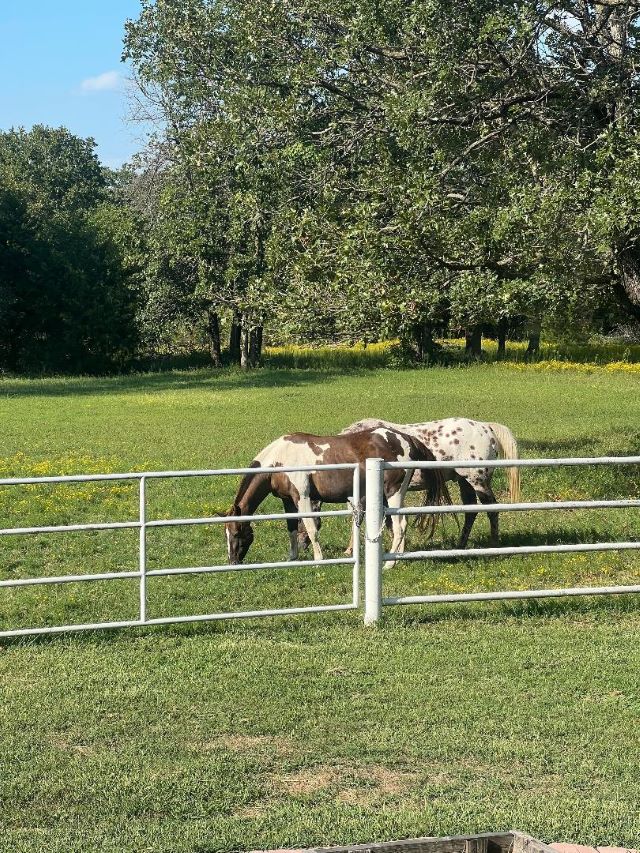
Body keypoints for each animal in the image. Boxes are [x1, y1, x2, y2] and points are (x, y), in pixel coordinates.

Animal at [225, 430, 450, 568]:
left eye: (236, 534)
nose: (232, 561)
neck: (280, 459)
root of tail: (406, 438)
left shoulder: (303, 497)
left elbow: (311, 528)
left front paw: (318, 560)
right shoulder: (287, 500)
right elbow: (291, 529)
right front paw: (292, 557)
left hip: (393, 493)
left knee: (400, 525)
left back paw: (389, 564)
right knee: (399, 525)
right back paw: (397, 558)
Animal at [340, 418, 520, 544]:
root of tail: (485, 427)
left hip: (478, 481)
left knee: (492, 509)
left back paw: (493, 543)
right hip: (465, 482)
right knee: (471, 511)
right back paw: (461, 544)